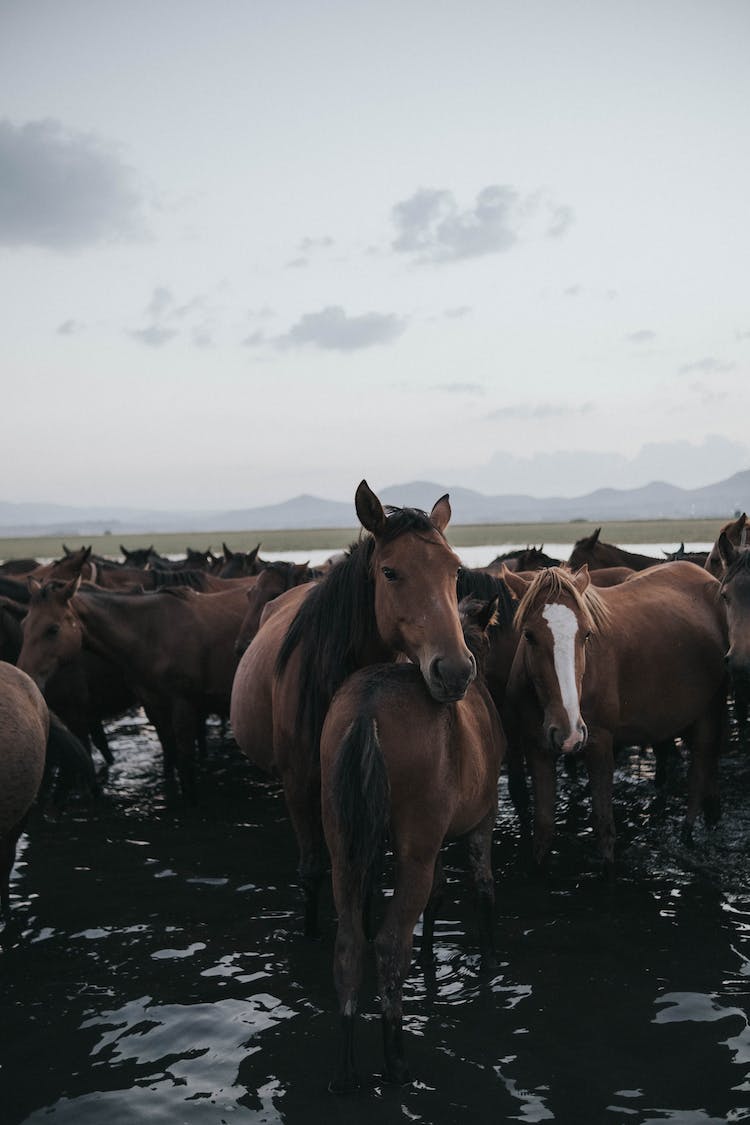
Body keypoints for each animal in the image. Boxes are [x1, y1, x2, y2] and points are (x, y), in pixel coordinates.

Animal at [319, 598, 508, 1089]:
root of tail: (367, 708)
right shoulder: (480, 823)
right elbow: (483, 888)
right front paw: (489, 958)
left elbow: (438, 896)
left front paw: (429, 955)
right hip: (415, 848)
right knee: (389, 943)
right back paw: (396, 1060)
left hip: (343, 848)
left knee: (350, 942)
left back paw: (345, 1069)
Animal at [503, 562, 728, 868]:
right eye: (529, 635)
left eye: (586, 634)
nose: (568, 732)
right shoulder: (537, 748)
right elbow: (544, 829)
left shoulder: (599, 742)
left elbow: (604, 828)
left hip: (710, 711)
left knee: (699, 773)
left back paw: (688, 835)